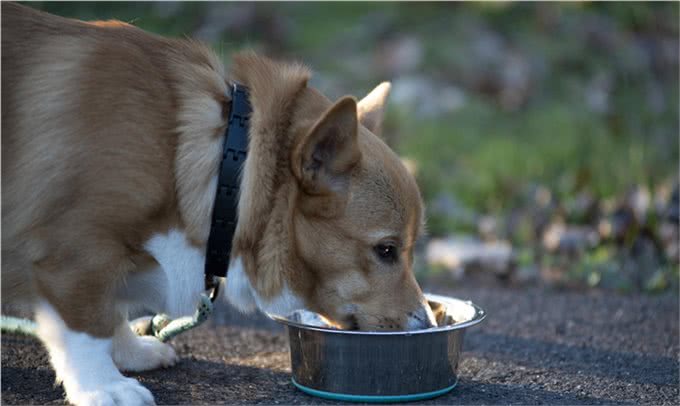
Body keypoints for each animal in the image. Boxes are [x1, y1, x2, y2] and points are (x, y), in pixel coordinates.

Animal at [1, 3, 436, 406]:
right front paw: (103, 386)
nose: (426, 326)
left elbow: (112, 314)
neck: (224, 167)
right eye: (386, 250)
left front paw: (130, 352)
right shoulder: (76, 255)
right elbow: (89, 327)